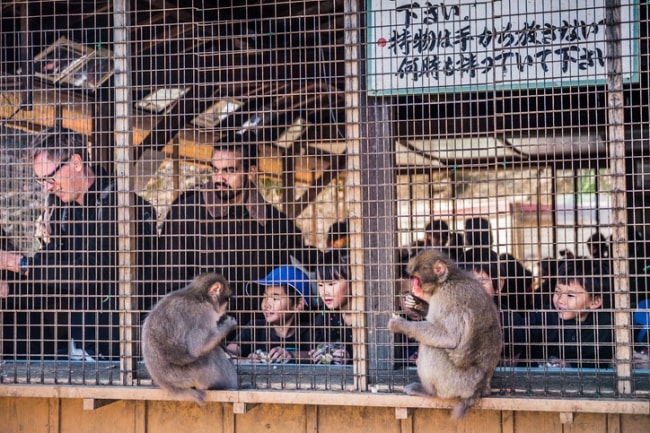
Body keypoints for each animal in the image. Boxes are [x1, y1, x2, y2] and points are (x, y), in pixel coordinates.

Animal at [142, 272, 238, 404]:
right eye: (227, 298)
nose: (227, 307)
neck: (198, 296)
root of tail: (169, 386)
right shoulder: (202, 313)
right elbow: (197, 348)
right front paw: (229, 325)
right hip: (186, 375)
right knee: (210, 355)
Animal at [384, 248, 502, 420]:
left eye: (417, 279)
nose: (414, 287)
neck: (447, 280)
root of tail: (479, 389)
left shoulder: (448, 297)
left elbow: (449, 337)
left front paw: (401, 325)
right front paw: (418, 304)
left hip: (456, 383)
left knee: (431, 347)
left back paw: (429, 391)